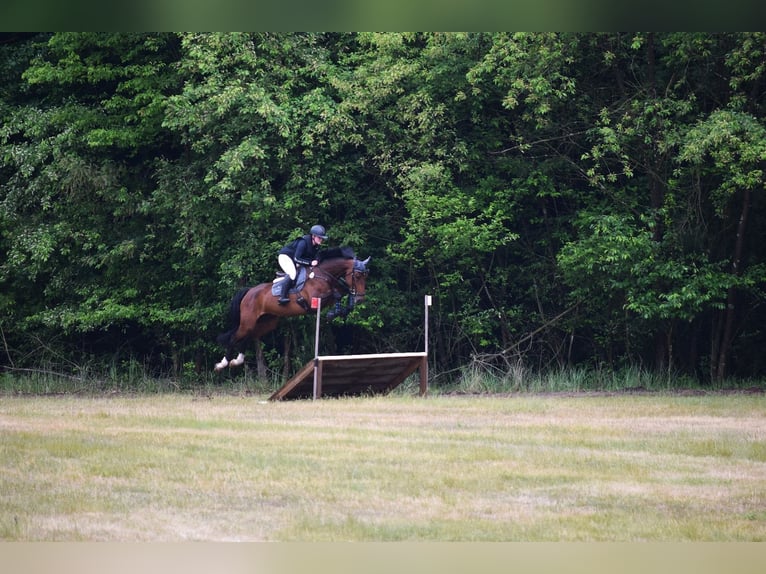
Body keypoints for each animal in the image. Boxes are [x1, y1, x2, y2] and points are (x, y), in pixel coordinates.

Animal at [214, 246, 370, 371]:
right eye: (357, 275)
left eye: (366, 275)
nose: (360, 299)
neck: (323, 274)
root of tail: (249, 292)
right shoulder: (314, 298)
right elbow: (337, 294)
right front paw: (334, 312)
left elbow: (343, 293)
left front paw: (342, 309)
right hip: (248, 321)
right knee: (234, 337)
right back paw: (223, 364)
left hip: (266, 323)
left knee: (248, 336)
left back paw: (237, 361)